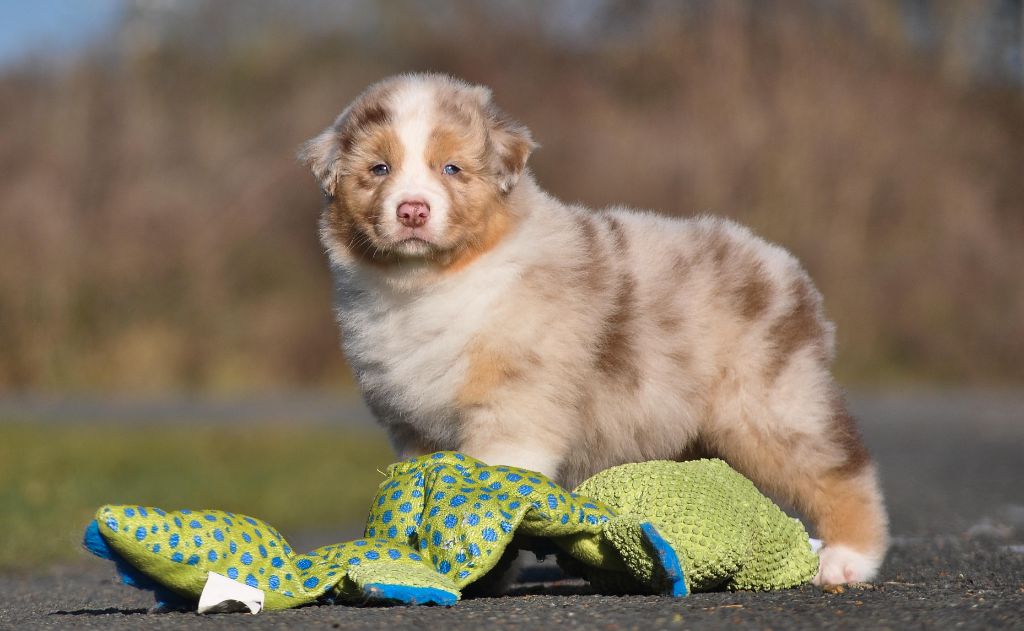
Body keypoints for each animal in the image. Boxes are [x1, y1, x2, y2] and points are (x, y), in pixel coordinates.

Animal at [300, 73, 889, 585]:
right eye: (379, 169)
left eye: (452, 169)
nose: (413, 211)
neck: (430, 281)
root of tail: (785, 268)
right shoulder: (414, 428)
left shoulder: (514, 409)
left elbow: (490, 487)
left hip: (768, 404)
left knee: (840, 471)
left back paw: (846, 560)